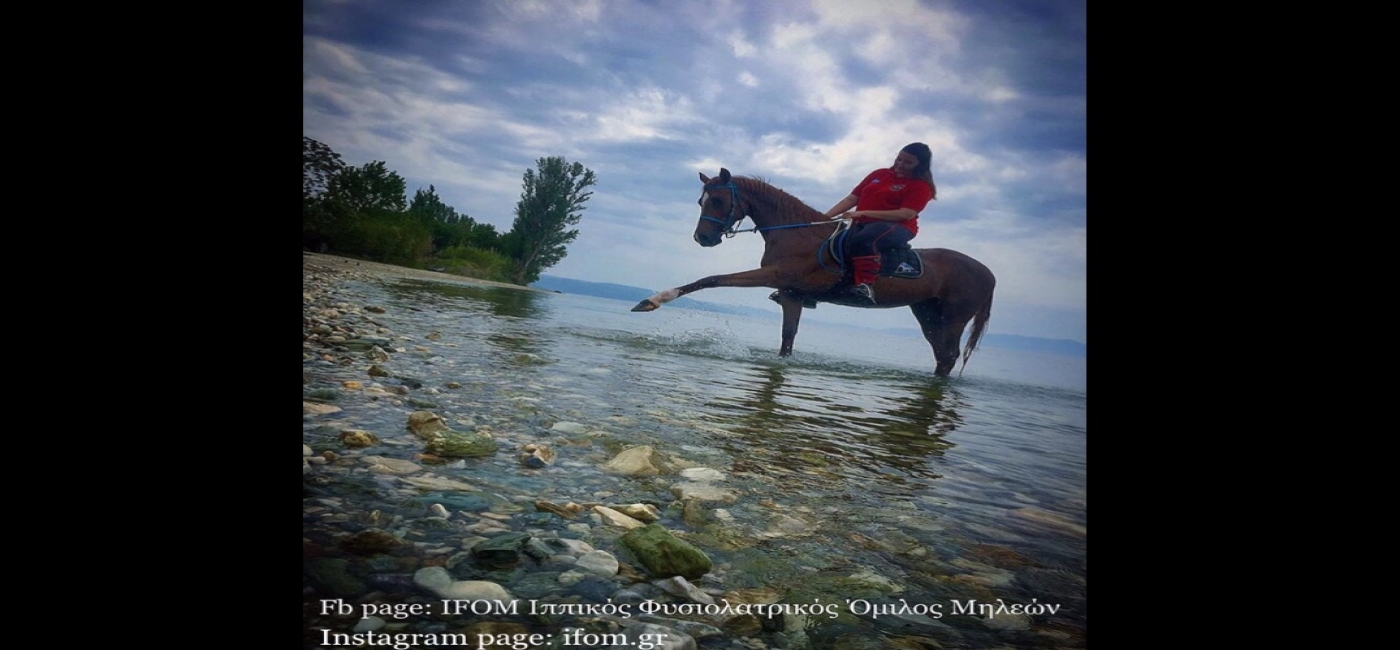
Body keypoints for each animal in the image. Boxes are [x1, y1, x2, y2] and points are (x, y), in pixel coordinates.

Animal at [635, 167, 996, 375]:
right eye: (701, 201)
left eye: (719, 201)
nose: (703, 238)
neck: (793, 232)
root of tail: (987, 273)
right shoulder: (791, 294)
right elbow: (787, 339)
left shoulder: (773, 276)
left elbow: (710, 279)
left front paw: (653, 301)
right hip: (928, 313)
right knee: (941, 356)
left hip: (953, 316)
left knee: (948, 356)